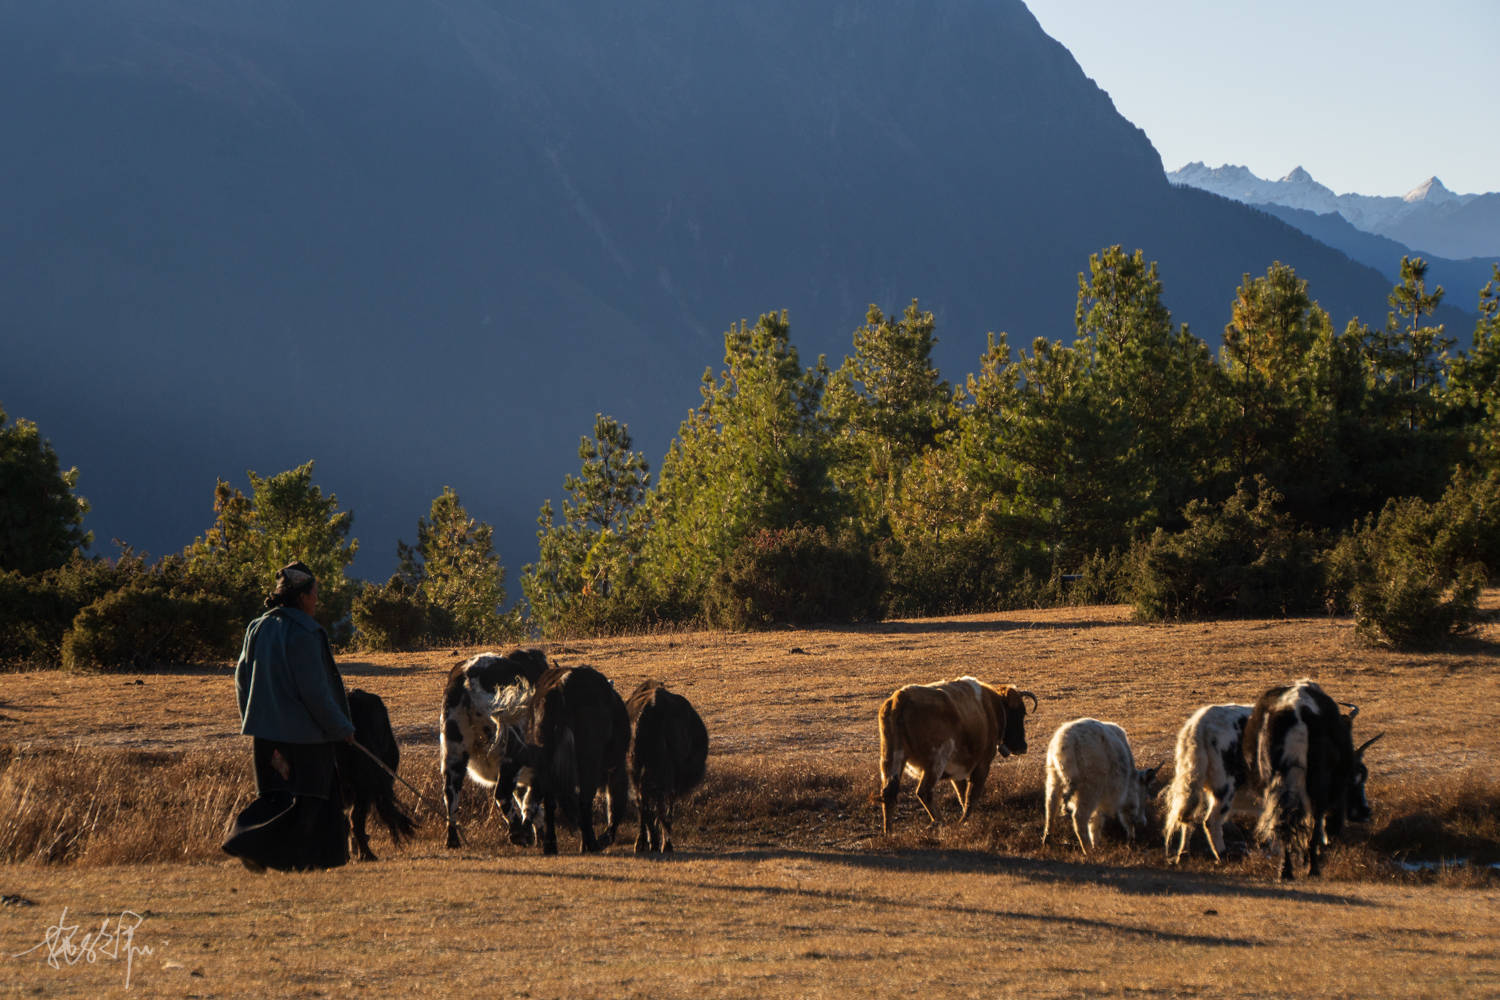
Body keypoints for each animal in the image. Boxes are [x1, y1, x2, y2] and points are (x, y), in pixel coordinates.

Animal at [876, 671, 1038, 839]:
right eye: (1020, 712)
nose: (1023, 746)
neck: (992, 708)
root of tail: (900, 698)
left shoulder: (956, 771)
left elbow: (962, 793)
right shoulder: (983, 764)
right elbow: (971, 794)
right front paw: (964, 820)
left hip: (891, 758)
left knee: (888, 793)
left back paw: (889, 832)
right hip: (936, 761)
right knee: (924, 791)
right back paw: (939, 821)